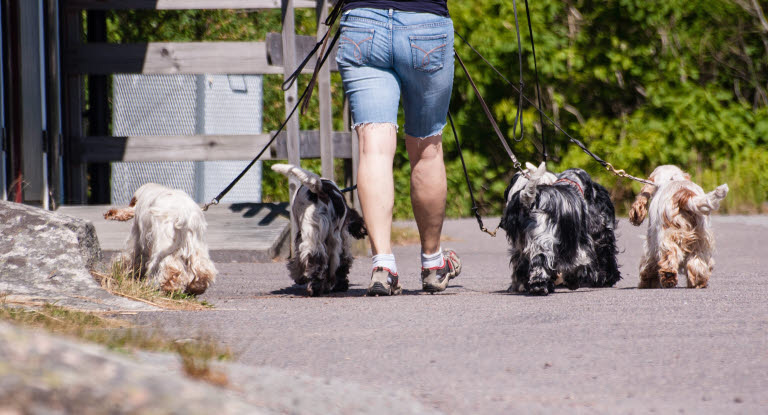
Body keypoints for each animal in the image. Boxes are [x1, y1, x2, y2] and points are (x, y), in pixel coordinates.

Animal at [272, 164, 368, 298]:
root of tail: (321, 190)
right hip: (330, 239)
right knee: (330, 263)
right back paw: (326, 287)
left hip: (315, 234)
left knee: (321, 261)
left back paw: (318, 288)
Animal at [500, 162, 620, 296]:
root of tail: (528, 200)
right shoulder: (582, 243)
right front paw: (574, 281)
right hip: (544, 240)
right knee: (540, 262)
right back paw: (540, 287)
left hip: (522, 245)